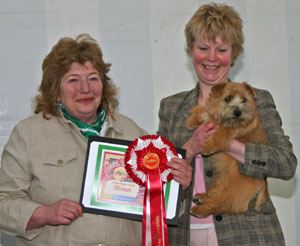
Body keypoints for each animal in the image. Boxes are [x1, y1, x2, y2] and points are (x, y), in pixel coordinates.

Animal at [188, 82, 270, 217]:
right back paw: (202, 197)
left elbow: (219, 135)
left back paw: (200, 210)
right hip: (220, 179)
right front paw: (192, 121)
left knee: (218, 205)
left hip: (230, 188)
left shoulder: (228, 131)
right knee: (213, 193)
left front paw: (207, 147)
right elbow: (205, 109)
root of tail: (263, 182)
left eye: (244, 100)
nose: (238, 112)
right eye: (227, 98)